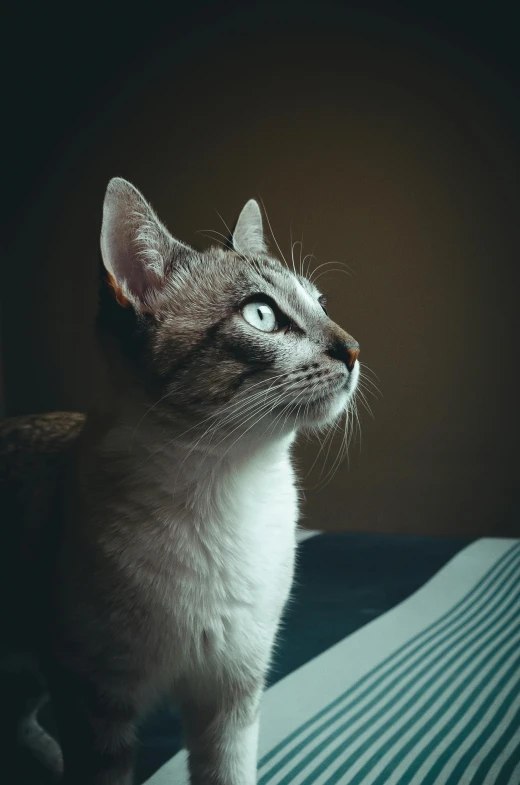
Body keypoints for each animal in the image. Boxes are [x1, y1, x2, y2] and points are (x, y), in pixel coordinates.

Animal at [0, 179, 360, 784]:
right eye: (262, 315)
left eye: (322, 305)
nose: (355, 350)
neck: (227, 487)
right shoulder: (95, 704)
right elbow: (100, 765)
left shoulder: (232, 694)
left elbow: (228, 771)